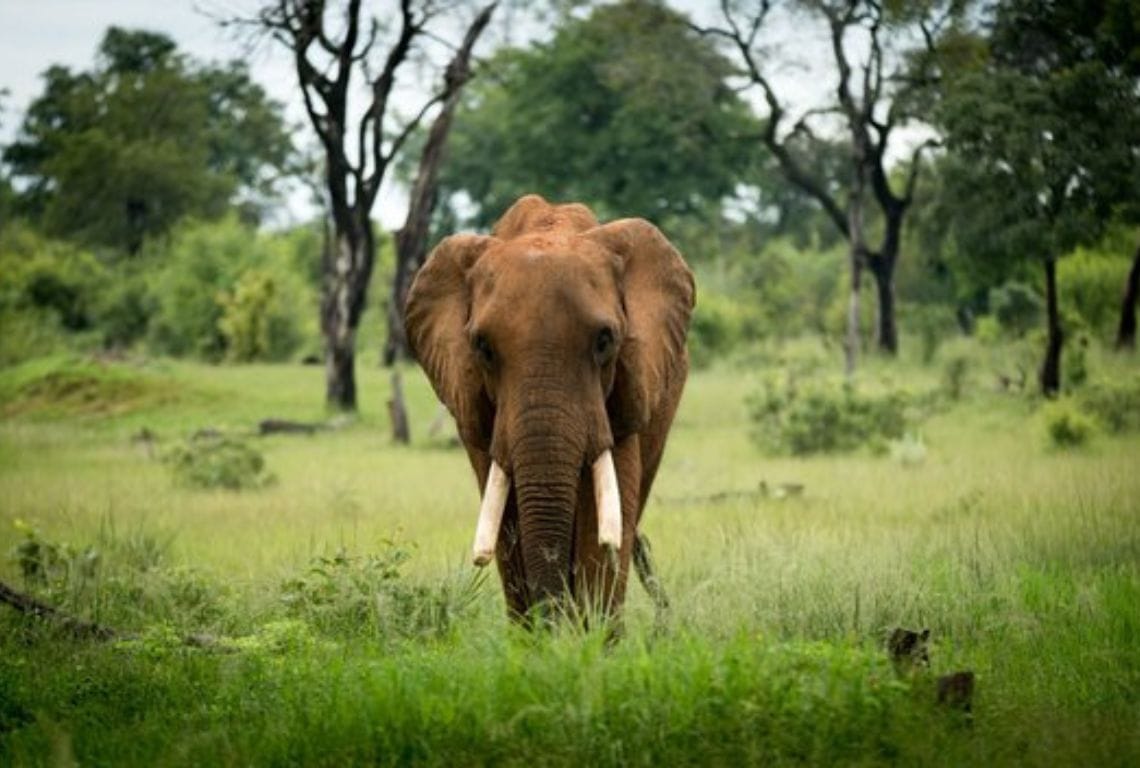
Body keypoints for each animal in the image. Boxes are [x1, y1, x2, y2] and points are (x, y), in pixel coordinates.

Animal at [405, 191, 697, 619]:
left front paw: (592, 634)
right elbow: (507, 523)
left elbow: (602, 523)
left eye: (605, 340)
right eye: (483, 347)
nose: (554, 622)